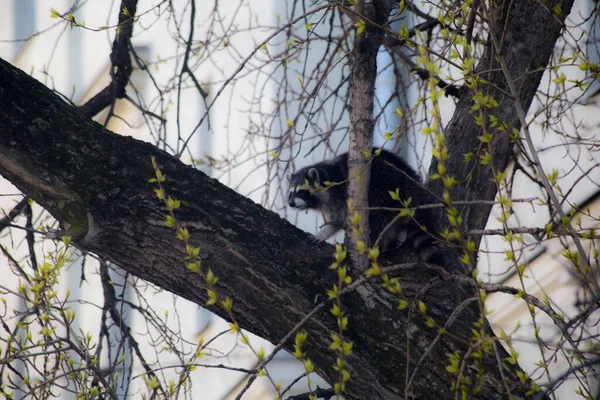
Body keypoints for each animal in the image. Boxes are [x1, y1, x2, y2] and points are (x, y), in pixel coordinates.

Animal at [288, 148, 442, 264]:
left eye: (301, 191)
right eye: (290, 193)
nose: (290, 203)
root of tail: (415, 191)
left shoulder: (341, 196)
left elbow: (339, 220)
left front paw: (323, 233)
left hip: (387, 188)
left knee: (380, 217)